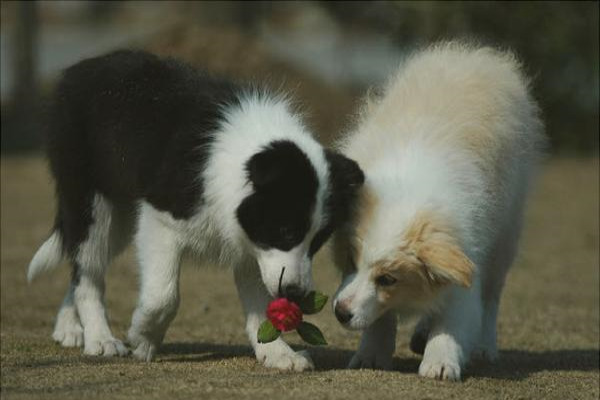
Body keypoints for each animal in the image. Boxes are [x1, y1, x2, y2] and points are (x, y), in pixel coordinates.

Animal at [28, 50, 364, 372]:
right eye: (285, 231)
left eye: (318, 242)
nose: (296, 293)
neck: (244, 158)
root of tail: (79, 69)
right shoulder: (160, 218)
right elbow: (164, 295)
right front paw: (143, 338)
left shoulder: (253, 241)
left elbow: (260, 303)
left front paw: (278, 353)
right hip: (92, 202)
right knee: (88, 268)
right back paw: (100, 338)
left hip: (119, 218)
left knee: (79, 263)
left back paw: (69, 328)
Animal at [330, 43, 548, 382]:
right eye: (351, 261)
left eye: (388, 279)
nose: (340, 312)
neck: (410, 188)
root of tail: (478, 55)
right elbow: (381, 316)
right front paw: (371, 353)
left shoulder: (466, 252)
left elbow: (454, 317)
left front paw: (441, 360)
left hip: (505, 238)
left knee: (491, 298)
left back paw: (483, 347)